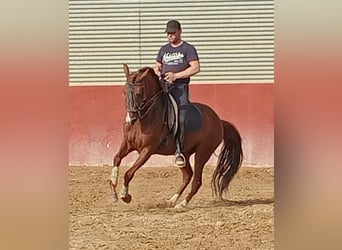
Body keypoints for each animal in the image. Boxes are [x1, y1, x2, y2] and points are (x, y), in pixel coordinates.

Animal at [109, 63, 243, 208]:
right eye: (123, 91)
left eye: (138, 93)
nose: (130, 118)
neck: (143, 119)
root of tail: (219, 121)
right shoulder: (128, 144)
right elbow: (116, 159)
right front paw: (113, 192)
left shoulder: (147, 150)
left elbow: (129, 173)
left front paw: (125, 196)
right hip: (184, 153)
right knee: (188, 175)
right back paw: (172, 200)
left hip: (203, 153)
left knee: (196, 180)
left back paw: (182, 204)